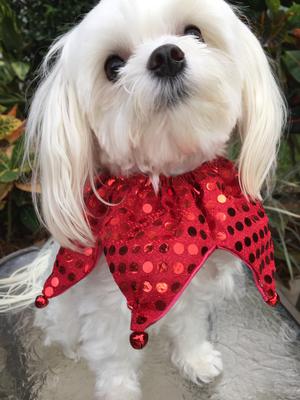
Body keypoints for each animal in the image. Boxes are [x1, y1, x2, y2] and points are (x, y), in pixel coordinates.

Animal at [0, 0, 286, 398]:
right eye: (113, 66)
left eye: (195, 33)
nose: (166, 56)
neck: (169, 186)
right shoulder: (108, 313)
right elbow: (115, 361)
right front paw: (120, 390)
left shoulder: (192, 290)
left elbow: (190, 326)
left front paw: (196, 360)